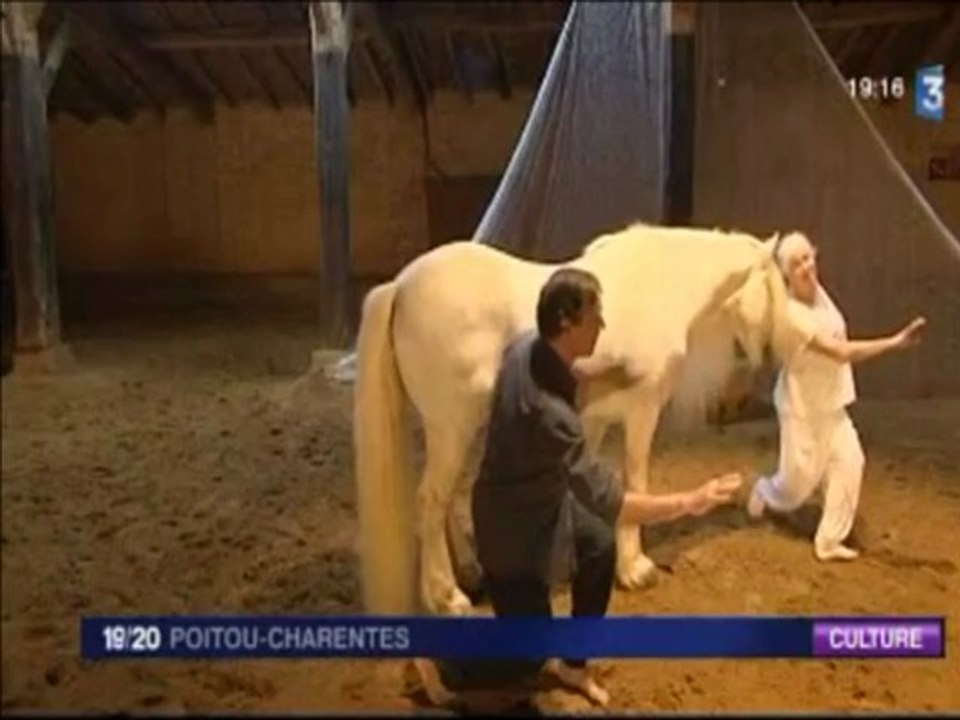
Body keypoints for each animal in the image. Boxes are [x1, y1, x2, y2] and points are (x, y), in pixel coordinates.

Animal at [353, 222, 808, 617]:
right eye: (779, 284)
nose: (792, 343)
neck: (660, 287)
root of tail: (401, 286)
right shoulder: (642, 411)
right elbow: (634, 479)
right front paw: (634, 568)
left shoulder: (593, 420)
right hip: (452, 427)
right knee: (431, 500)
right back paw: (447, 596)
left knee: (445, 502)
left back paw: (470, 576)